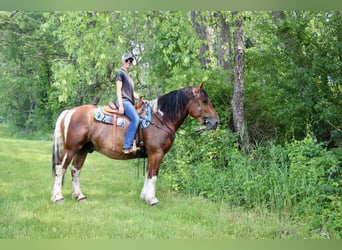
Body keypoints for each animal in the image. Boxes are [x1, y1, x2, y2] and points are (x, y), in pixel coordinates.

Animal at [51, 83, 219, 206]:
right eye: (204, 101)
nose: (216, 122)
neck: (160, 119)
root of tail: (69, 112)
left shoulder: (150, 154)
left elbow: (148, 174)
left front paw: (144, 197)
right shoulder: (156, 153)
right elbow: (153, 176)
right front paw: (152, 199)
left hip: (82, 150)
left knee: (75, 170)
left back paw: (79, 196)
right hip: (71, 148)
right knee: (61, 169)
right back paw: (58, 197)